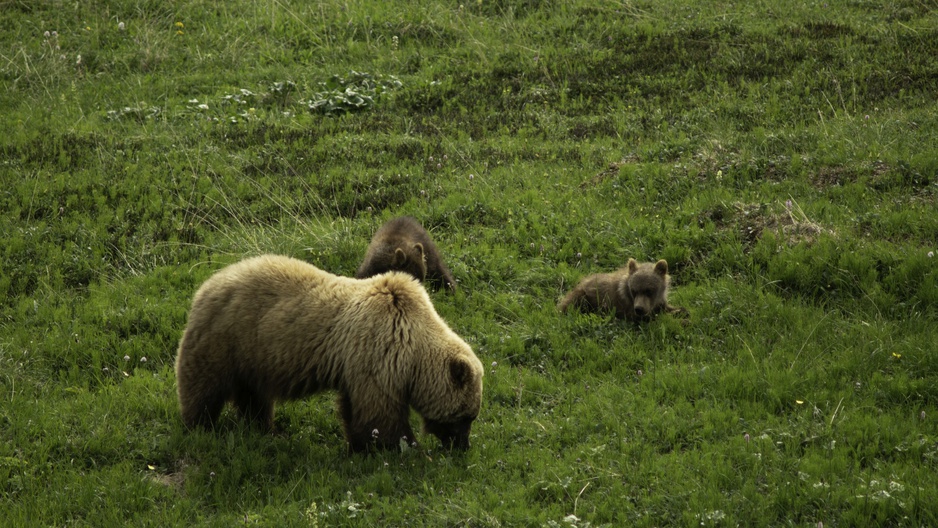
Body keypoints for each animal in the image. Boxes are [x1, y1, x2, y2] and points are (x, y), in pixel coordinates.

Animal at [175, 254, 482, 452]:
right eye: (466, 416)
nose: (462, 446)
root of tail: (207, 283)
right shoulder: (378, 354)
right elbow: (380, 416)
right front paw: (405, 448)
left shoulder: (357, 366)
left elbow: (355, 410)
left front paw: (359, 445)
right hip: (226, 341)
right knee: (204, 388)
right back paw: (200, 427)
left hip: (253, 358)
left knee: (254, 398)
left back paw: (265, 429)